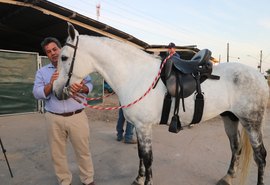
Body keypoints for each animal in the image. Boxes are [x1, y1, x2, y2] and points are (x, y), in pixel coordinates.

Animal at [53, 22, 268, 185]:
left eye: (64, 57)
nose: (55, 90)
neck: (135, 75)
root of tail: (259, 75)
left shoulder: (144, 126)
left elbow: (148, 158)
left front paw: (146, 181)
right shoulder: (139, 127)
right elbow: (140, 155)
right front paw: (138, 179)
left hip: (251, 122)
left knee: (260, 156)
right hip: (230, 118)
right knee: (236, 147)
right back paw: (228, 177)